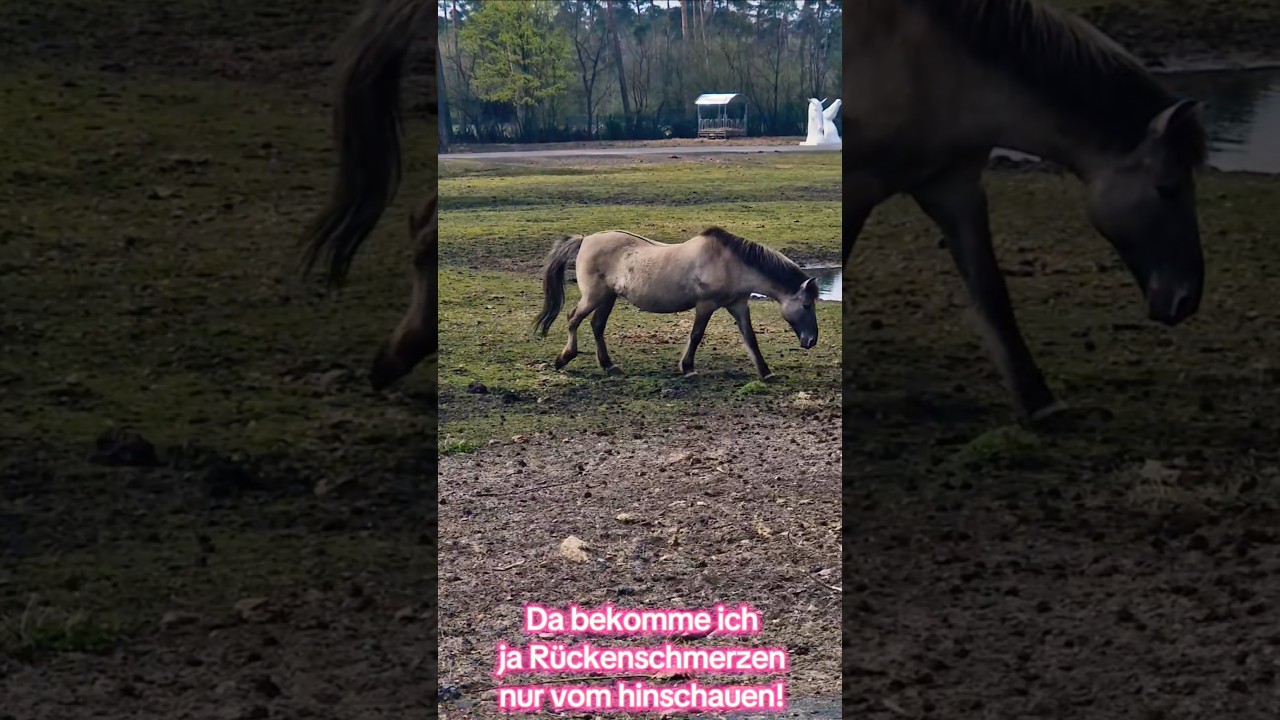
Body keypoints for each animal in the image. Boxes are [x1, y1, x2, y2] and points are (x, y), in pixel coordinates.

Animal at [533, 227, 821, 380]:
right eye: (807, 305)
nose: (811, 341)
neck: (730, 263)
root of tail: (585, 239)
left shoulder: (738, 305)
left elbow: (750, 338)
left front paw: (765, 372)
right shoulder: (705, 305)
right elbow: (696, 335)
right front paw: (688, 367)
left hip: (607, 297)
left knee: (597, 326)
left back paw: (608, 365)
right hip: (593, 296)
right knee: (573, 318)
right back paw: (564, 358)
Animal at [843, 0, 1208, 421]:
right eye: (1167, 188)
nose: (1187, 298)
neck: (926, 61)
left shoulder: (956, 190)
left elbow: (992, 293)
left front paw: (1040, 402)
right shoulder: (858, 187)